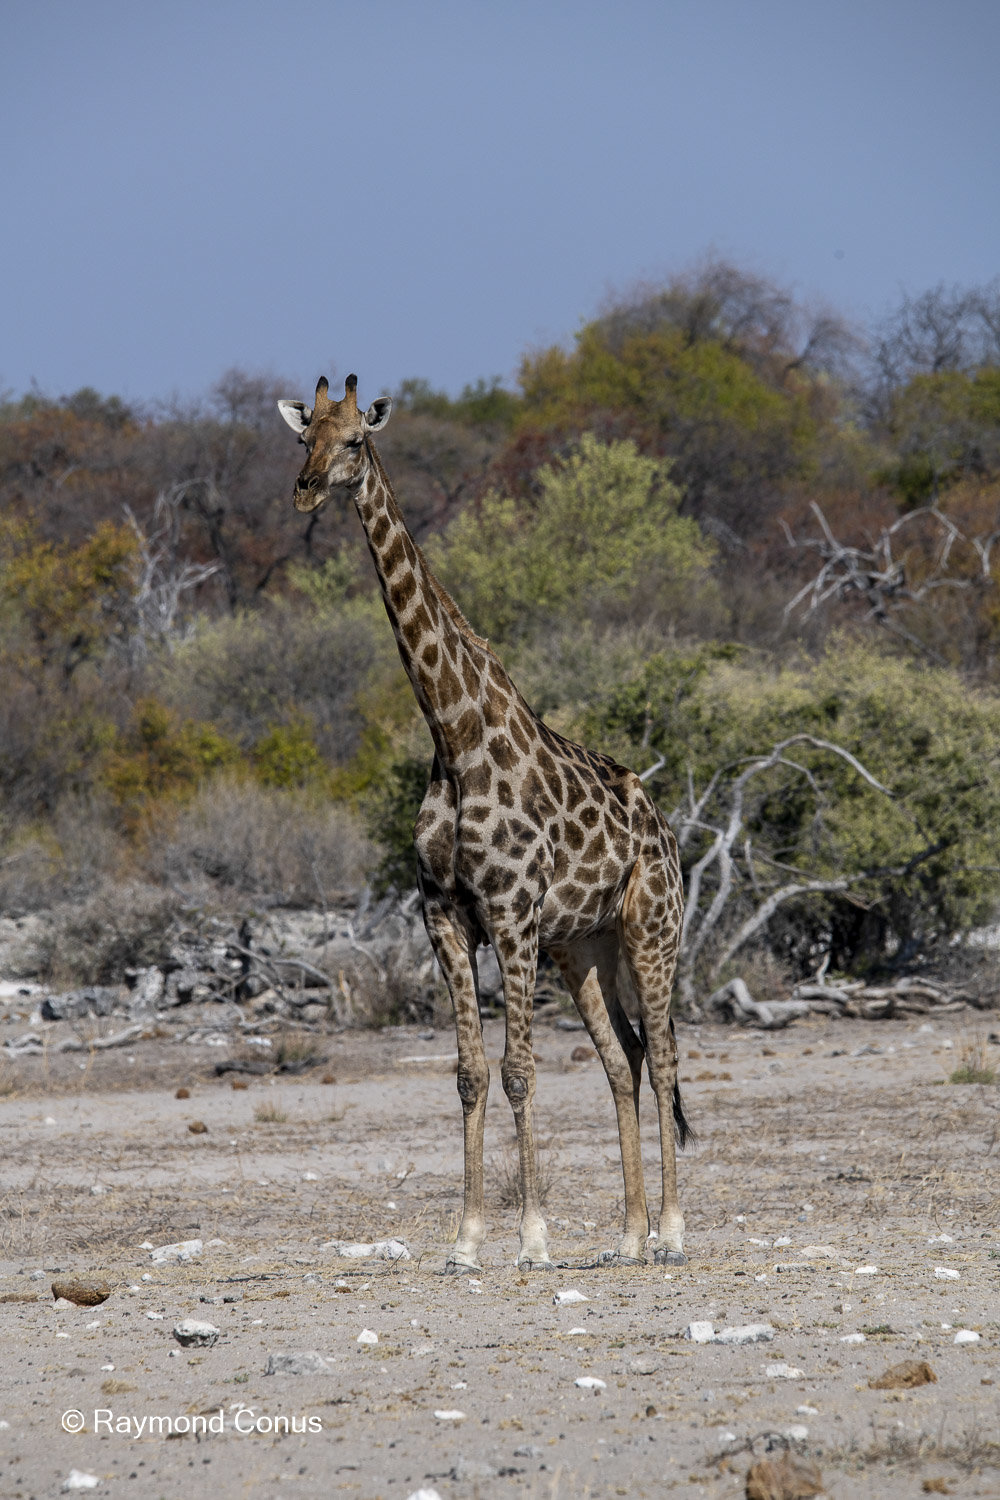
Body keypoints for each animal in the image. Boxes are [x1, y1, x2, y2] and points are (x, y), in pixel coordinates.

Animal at [278, 374, 691, 1270]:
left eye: (356, 440)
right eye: (302, 439)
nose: (305, 490)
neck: (451, 734)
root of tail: (670, 834)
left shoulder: (509, 913)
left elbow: (518, 1070)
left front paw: (532, 1239)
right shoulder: (444, 914)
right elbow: (469, 1072)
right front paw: (465, 1242)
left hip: (651, 930)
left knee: (667, 1060)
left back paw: (674, 1234)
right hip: (585, 946)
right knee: (624, 1060)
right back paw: (629, 1235)